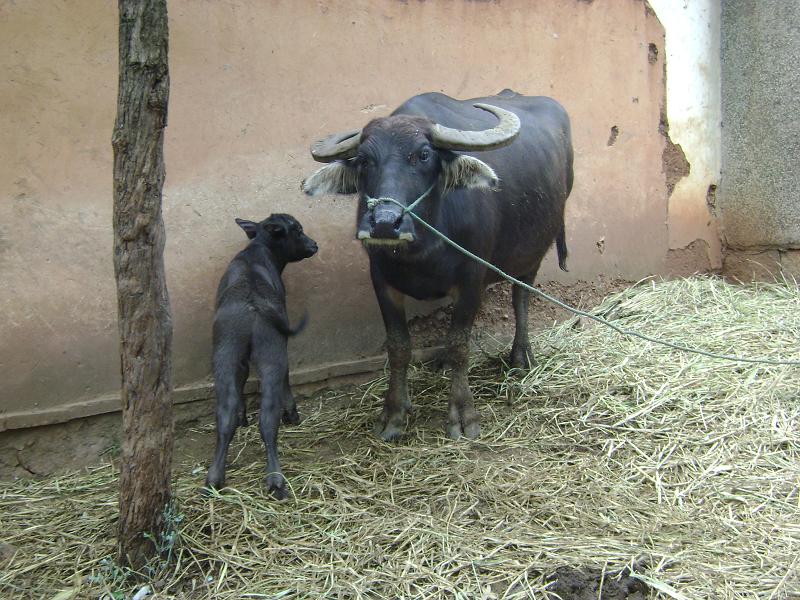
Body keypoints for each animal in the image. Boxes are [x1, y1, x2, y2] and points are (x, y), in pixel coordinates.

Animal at [205, 213, 318, 500]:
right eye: (298, 230)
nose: (314, 245)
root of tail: (252, 302)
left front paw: (243, 417)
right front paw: (292, 414)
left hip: (225, 353)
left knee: (224, 415)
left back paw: (214, 478)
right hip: (272, 352)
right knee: (268, 419)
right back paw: (276, 480)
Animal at [304, 89, 572, 440]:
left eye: (423, 155)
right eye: (363, 160)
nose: (384, 224)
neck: (422, 248)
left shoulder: (472, 279)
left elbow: (460, 345)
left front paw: (463, 414)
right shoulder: (381, 280)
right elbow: (398, 346)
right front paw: (394, 413)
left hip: (534, 250)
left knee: (521, 297)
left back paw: (520, 356)